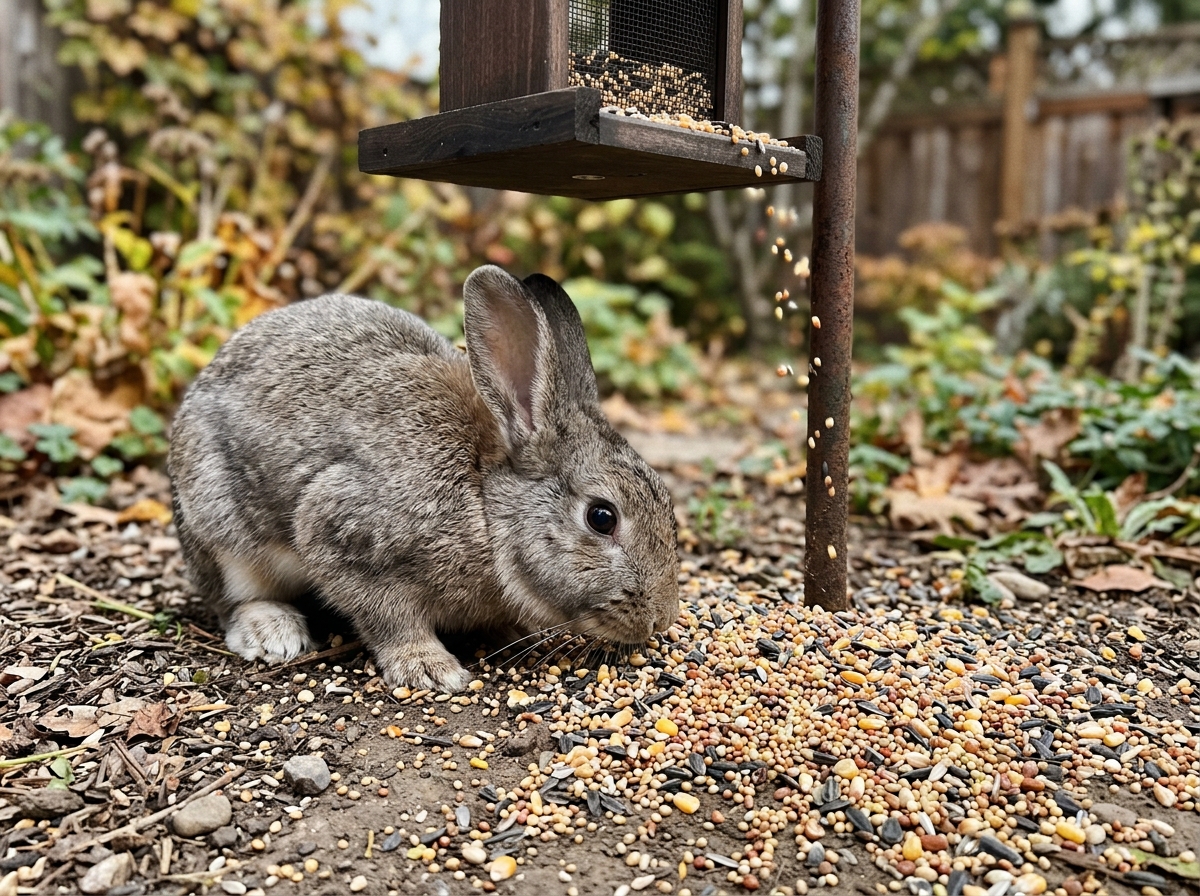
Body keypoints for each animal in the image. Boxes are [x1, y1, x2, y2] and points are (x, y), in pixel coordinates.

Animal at [167, 265, 681, 692]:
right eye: (601, 517)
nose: (661, 619)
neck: (485, 506)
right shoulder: (345, 535)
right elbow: (389, 617)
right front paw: (430, 668)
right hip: (220, 527)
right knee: (231, 597)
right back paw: (272, 632)